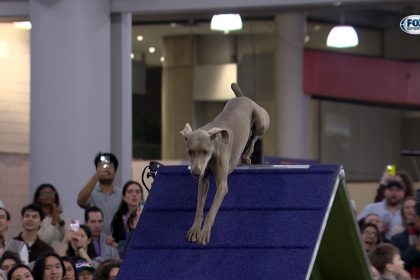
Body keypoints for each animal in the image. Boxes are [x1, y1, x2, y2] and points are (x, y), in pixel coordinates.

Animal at [180, 82, 270, 244]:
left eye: (205, 151)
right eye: (190, 152)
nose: (195, 172)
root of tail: (243, 97)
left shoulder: (222, 185)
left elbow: (212, 209)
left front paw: (204, 232)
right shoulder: (203, 181)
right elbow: (199, 206)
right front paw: (195, 229)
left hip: (261, 121)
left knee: (255, 134)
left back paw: (247, 152)